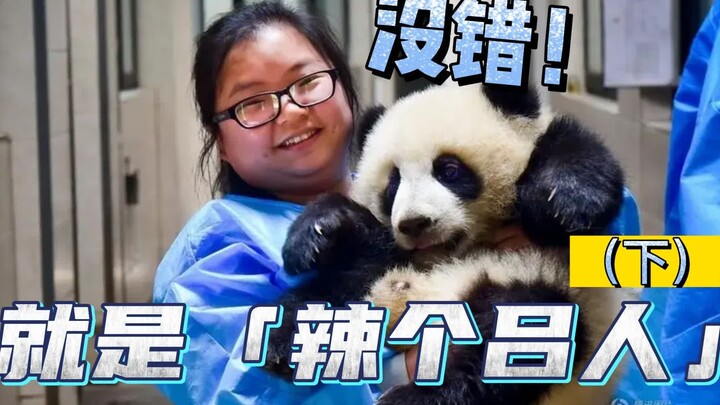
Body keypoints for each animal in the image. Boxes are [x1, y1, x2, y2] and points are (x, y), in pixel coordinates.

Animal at [262, 83, 638, 405]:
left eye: (449, 170)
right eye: (393, 183)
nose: (414, 223)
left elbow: (579, 163)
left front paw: (564, 200)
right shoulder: (392, 247)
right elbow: (365, 239)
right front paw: (316, 232)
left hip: (539, 286)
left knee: (511, 346)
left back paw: (414, 398)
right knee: (337, 286)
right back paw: (286, 338)